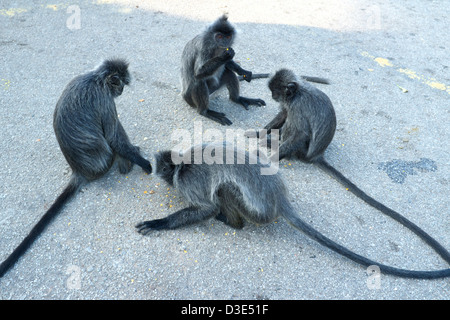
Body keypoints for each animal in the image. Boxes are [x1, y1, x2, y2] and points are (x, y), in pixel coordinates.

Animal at [0, 58, 153, 278]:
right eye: (120, 84)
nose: (122, 89)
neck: (96, 79)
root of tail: (79, 171)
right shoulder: (105, 100)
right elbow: (114, 137)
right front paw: (143, 162)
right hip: (106, 161)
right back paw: (127, 163)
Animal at [134, 144, 450, 278]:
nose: (156, 171)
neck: (183, 162)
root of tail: (279, 199)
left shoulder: (188, 181)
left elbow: (206, 207)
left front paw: (160, 223)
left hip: (254, 211)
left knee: (224, 189)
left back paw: (231, 222)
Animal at [253, 69, 450, 264]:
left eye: (276, 91)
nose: (272, 95)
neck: (298, 92)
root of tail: (316, 156)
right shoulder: (290, 105)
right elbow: (282, 115)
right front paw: (259, 133)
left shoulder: (298, 107)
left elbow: (300, 132)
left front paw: (271, 157)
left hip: (302, 149)